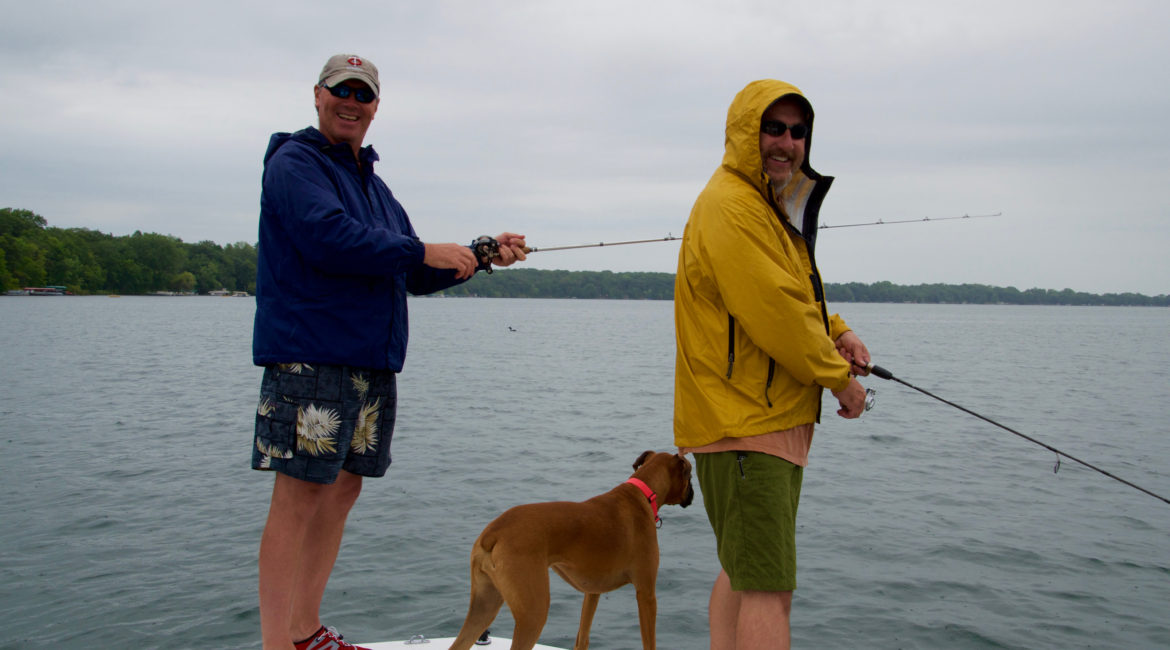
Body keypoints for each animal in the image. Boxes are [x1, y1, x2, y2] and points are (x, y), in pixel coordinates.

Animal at [442, 451, 687, 650]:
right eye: (690, 476)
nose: (691, 495)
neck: (643, 493)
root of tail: (493, 532)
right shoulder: (646, 593)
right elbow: (649, 642)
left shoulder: (592, 593)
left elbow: (582, 637)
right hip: (532, 613)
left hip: (484, 605)